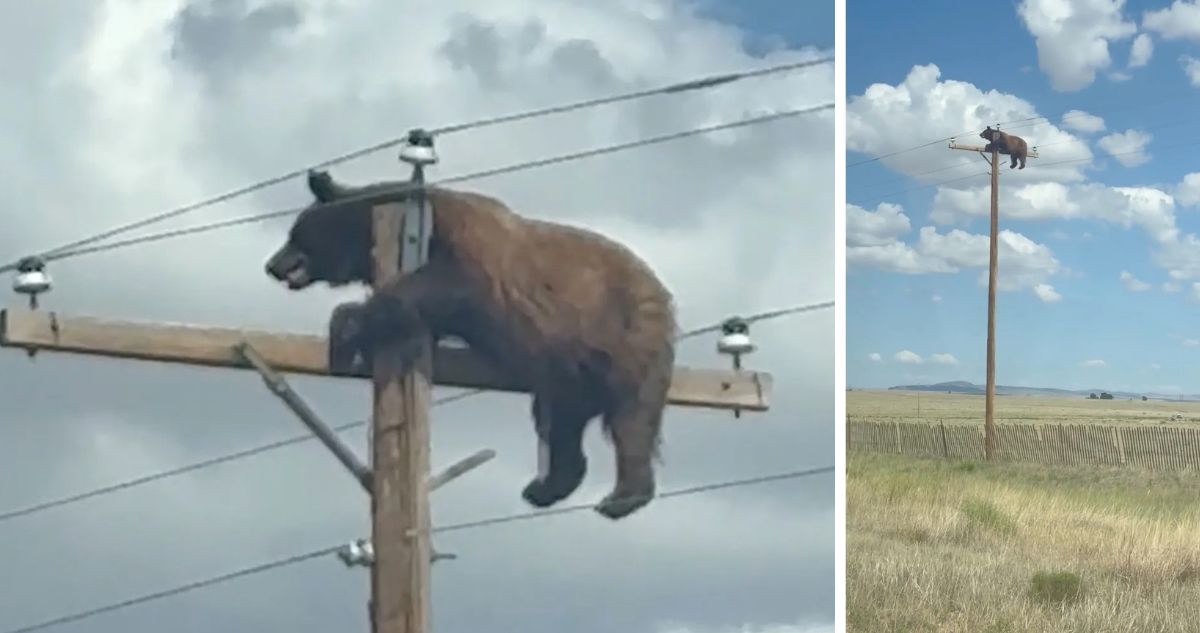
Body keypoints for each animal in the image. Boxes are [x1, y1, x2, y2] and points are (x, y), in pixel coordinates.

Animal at [264, 169, 678, 520]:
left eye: (294, 232)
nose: (272, 265)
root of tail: (661, 291)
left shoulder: (466, 250)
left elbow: (444, 284)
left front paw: (345, 326)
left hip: (625, 335)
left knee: (631, 416)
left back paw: (621, 497)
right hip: (568, 369)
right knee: (561, 422)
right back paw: (545, 487)